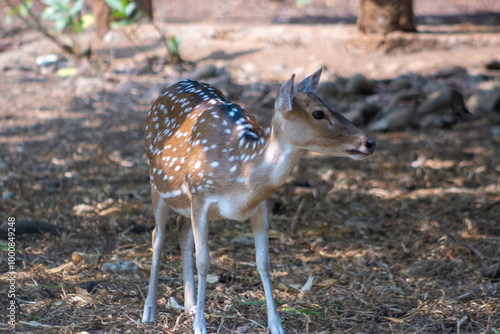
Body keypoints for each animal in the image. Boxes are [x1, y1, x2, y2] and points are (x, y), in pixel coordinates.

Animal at [141, 68, 376, 334]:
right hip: (156, 181)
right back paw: (149, 311)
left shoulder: (261, 206)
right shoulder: (199, 194)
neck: (241, 175)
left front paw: (276, 325)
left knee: (182, 228)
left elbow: (263, 262)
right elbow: (204, 261)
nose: (369, 143)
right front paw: (200, 325)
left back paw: (189, 306)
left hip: (183, 201)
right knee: (158, 236)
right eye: (318, 112)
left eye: (331, 105)